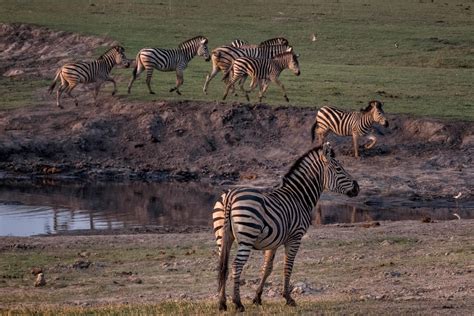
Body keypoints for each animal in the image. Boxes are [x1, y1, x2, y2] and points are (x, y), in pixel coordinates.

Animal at [214, 143, 360, 312]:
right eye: (338, 168)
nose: (357, 188)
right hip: (247, 237)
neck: (298, 197)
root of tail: (230, 195)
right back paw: (238, 303)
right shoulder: (295, 238)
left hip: (222, 237)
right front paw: (288, 298)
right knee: (236, 265)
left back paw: (222, 303)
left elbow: (267, 268)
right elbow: (287, 266)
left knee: (222, 267)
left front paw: (257, 298)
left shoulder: (273, 242)